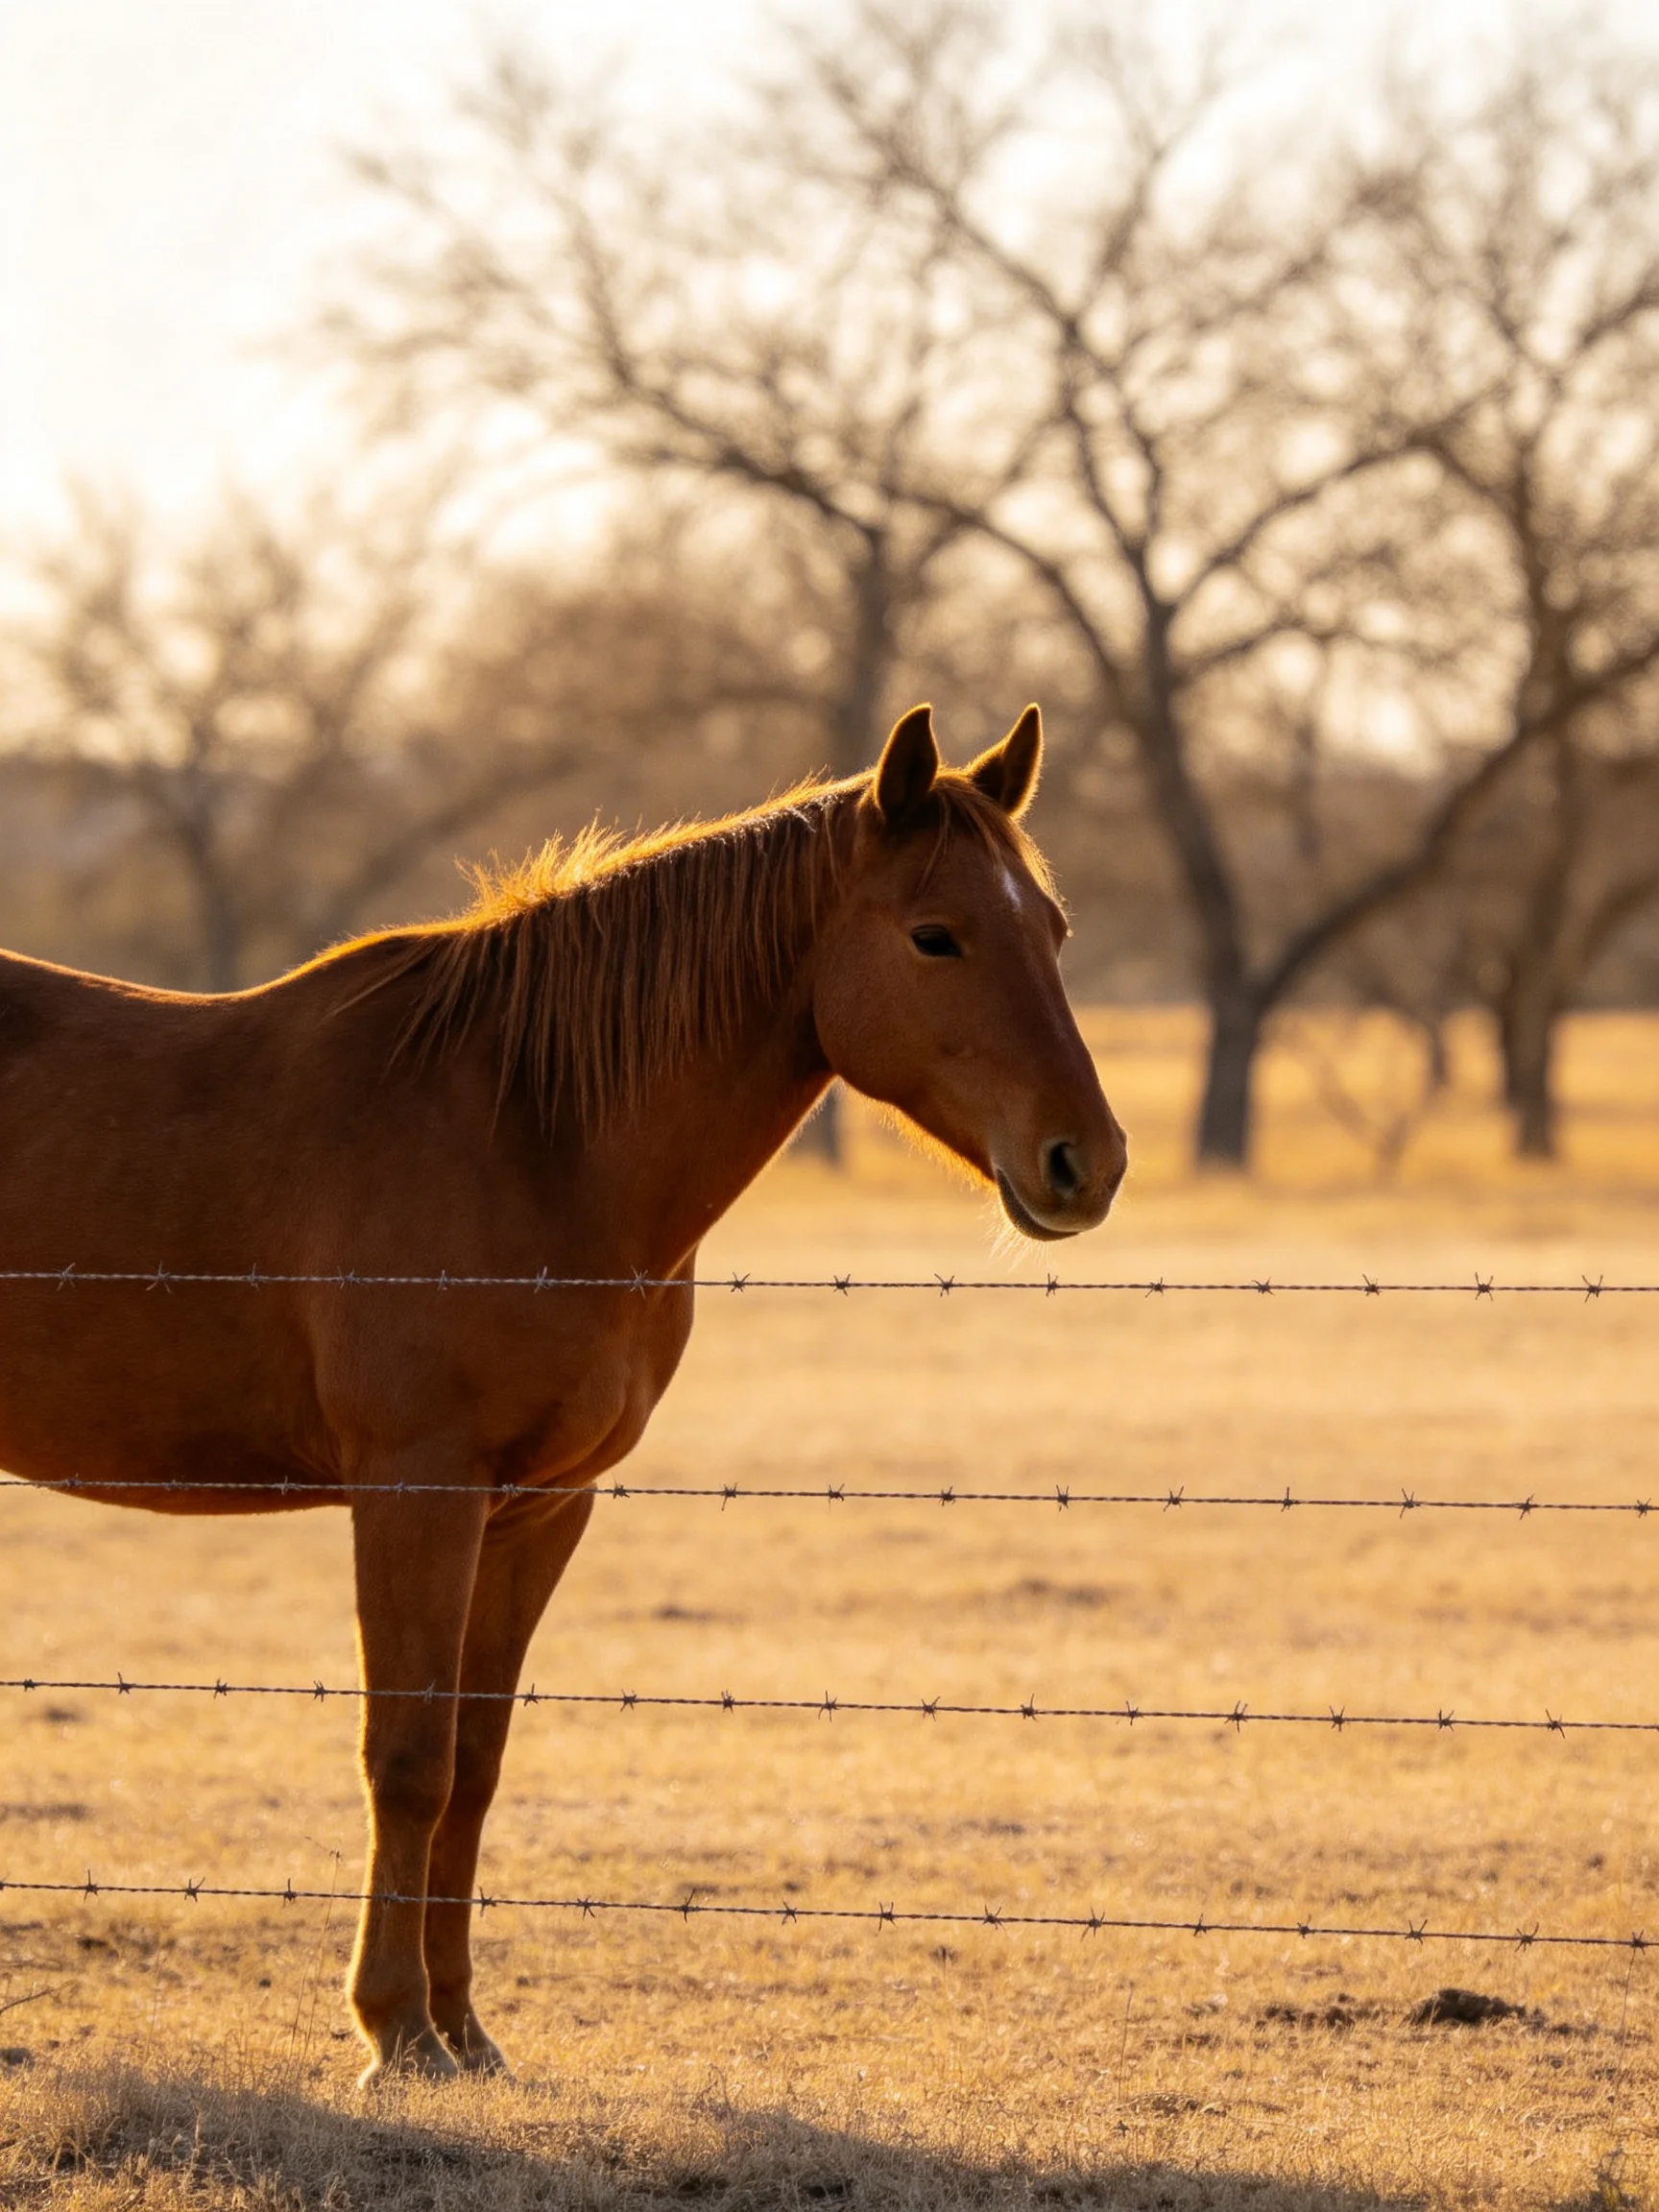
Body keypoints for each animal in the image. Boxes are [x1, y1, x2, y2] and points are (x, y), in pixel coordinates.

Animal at [0, 702, 1126, 2082]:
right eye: (936, 934)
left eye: (1053, 930)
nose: (1087, 1164)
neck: (532, 1134)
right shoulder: (417, 1490)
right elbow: (409, 1757)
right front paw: (394, 2031)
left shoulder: (540, 1506)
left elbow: (477, 1765)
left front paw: (461, 2029)